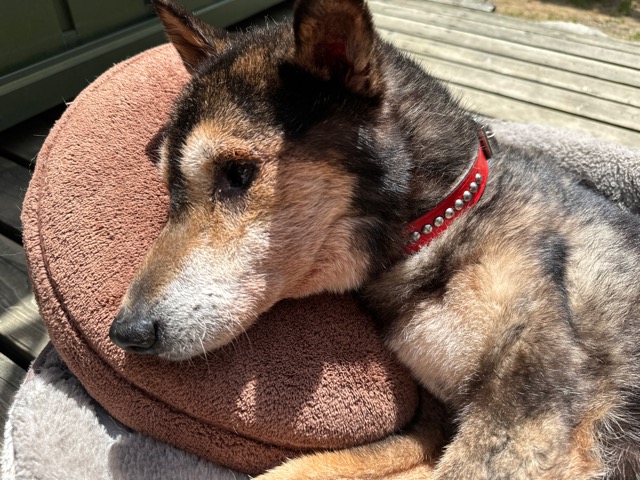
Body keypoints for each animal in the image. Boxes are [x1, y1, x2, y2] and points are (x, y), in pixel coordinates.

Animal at [109, 0, 640, 478]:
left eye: (238, 174)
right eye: (169, 187)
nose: (126, 332)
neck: (444, 223)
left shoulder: (526, 412)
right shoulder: (436, 420)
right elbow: (314, 466)